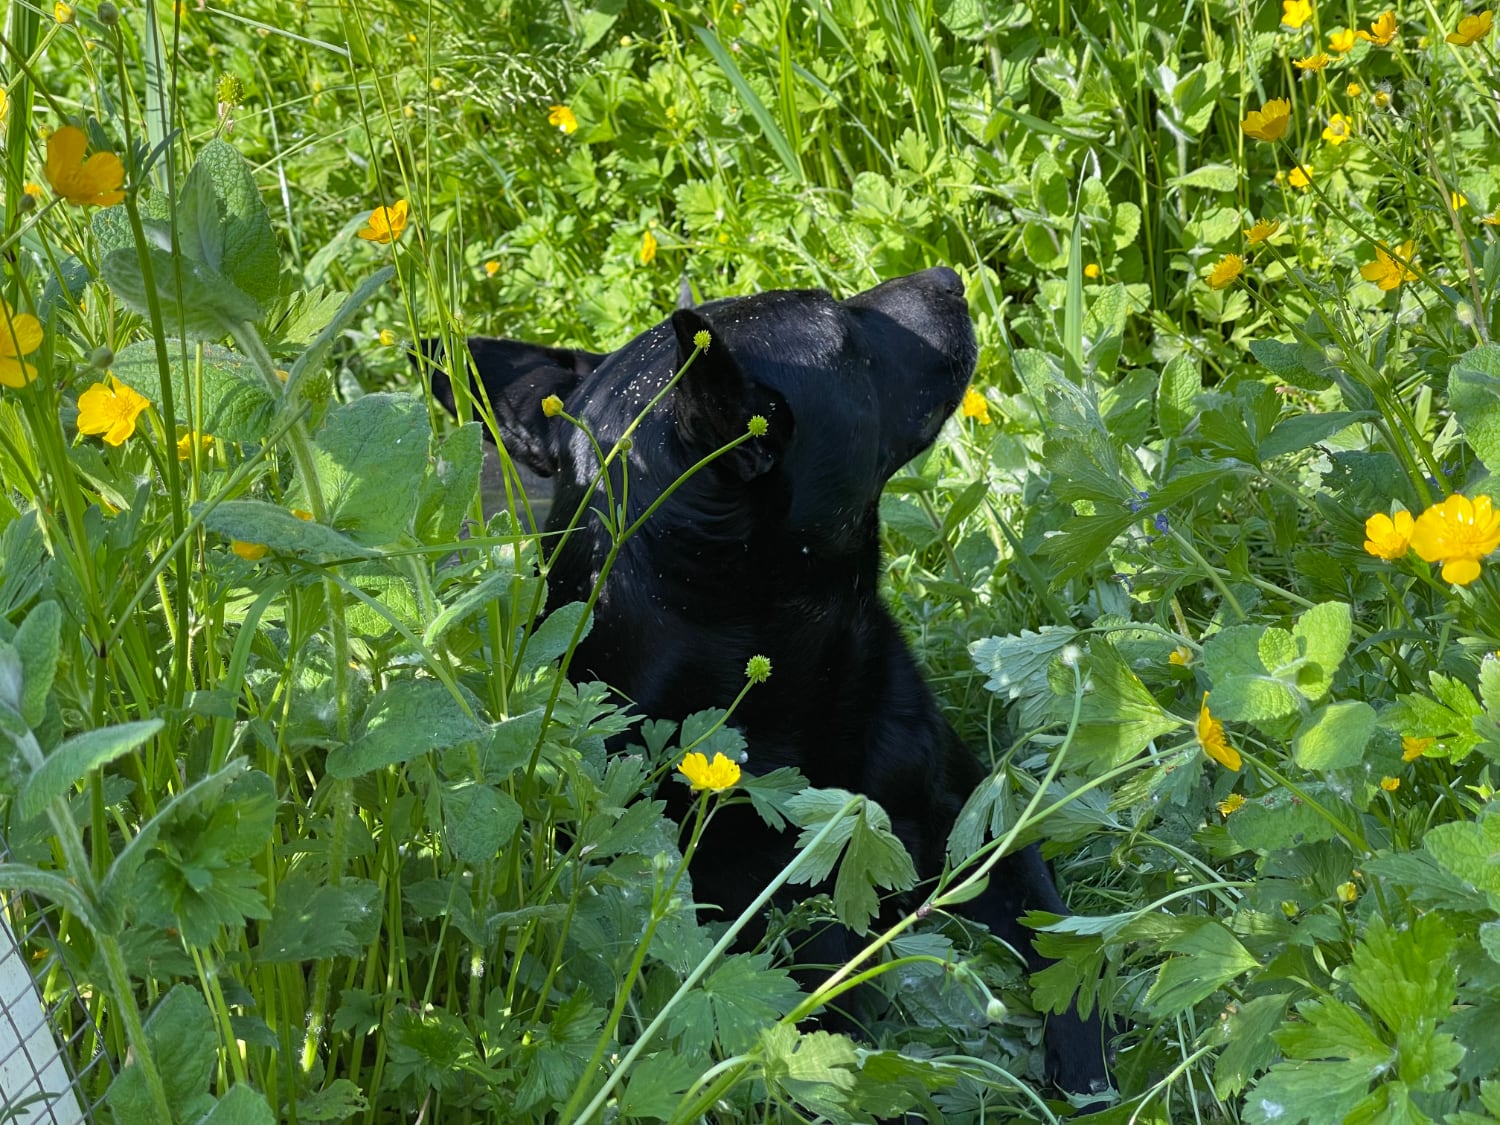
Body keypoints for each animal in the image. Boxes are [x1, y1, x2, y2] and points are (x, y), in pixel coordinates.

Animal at [429, 268, 1110, 1098]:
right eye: (842, 331)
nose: (949, 278)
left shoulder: (984, 825)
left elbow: (1063, 942)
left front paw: (1087, 1067)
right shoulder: (799, 971)